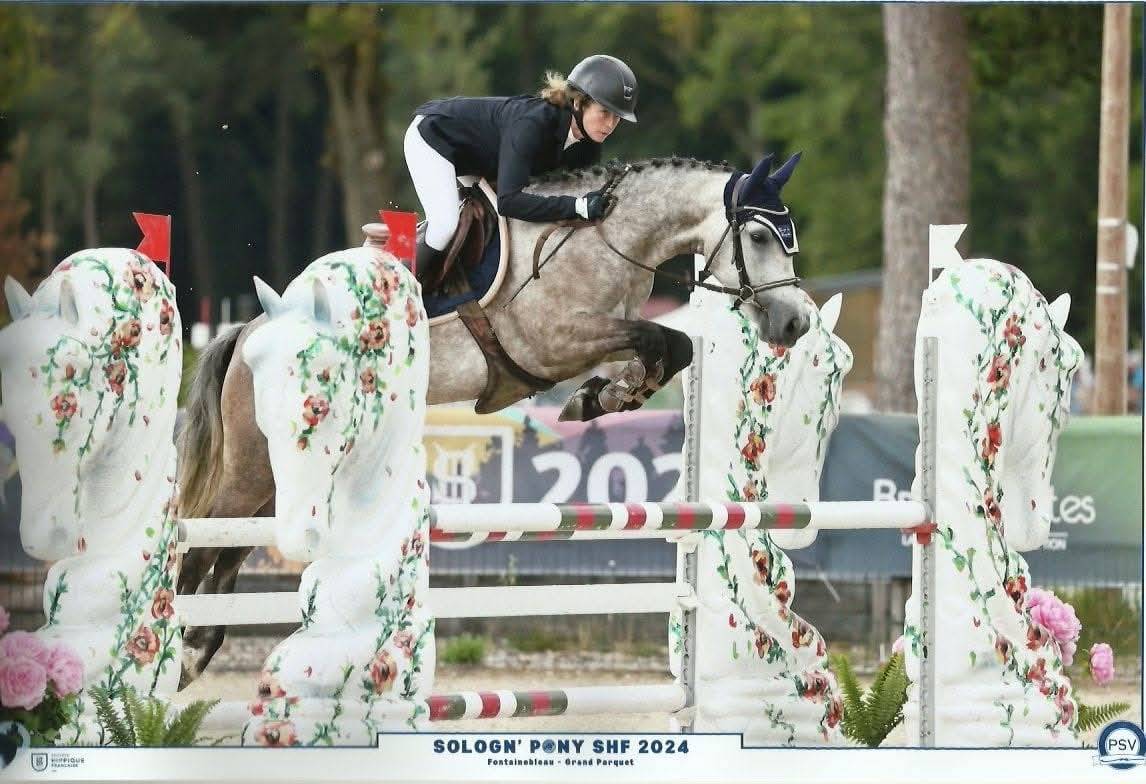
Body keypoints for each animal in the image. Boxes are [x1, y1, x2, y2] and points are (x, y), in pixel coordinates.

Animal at [176, 152, 812, 686]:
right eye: (758, 235)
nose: (796, 322)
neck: (608, 238)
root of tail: (246, 332)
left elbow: (669, 347)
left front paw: (608, 396)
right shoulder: (556, 342)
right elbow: (660, 337)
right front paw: (600, 396)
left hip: (288, 472)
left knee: (230, 550)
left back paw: (199, 646)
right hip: (255, 463)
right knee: (202, 540)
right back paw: (176, 646)